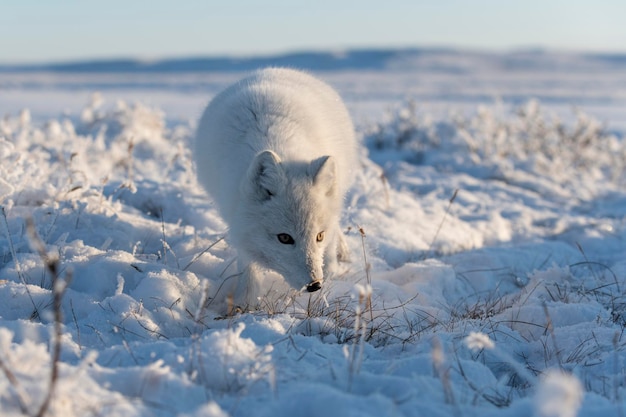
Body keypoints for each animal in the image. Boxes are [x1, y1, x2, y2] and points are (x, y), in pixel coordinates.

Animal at [194, 68, 356, 308]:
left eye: (319, 236)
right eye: (285, 238)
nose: (315, 285)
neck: (275, 145)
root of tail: (274, 68)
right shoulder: (237, 217)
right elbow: (247, 262)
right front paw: (247, 301)